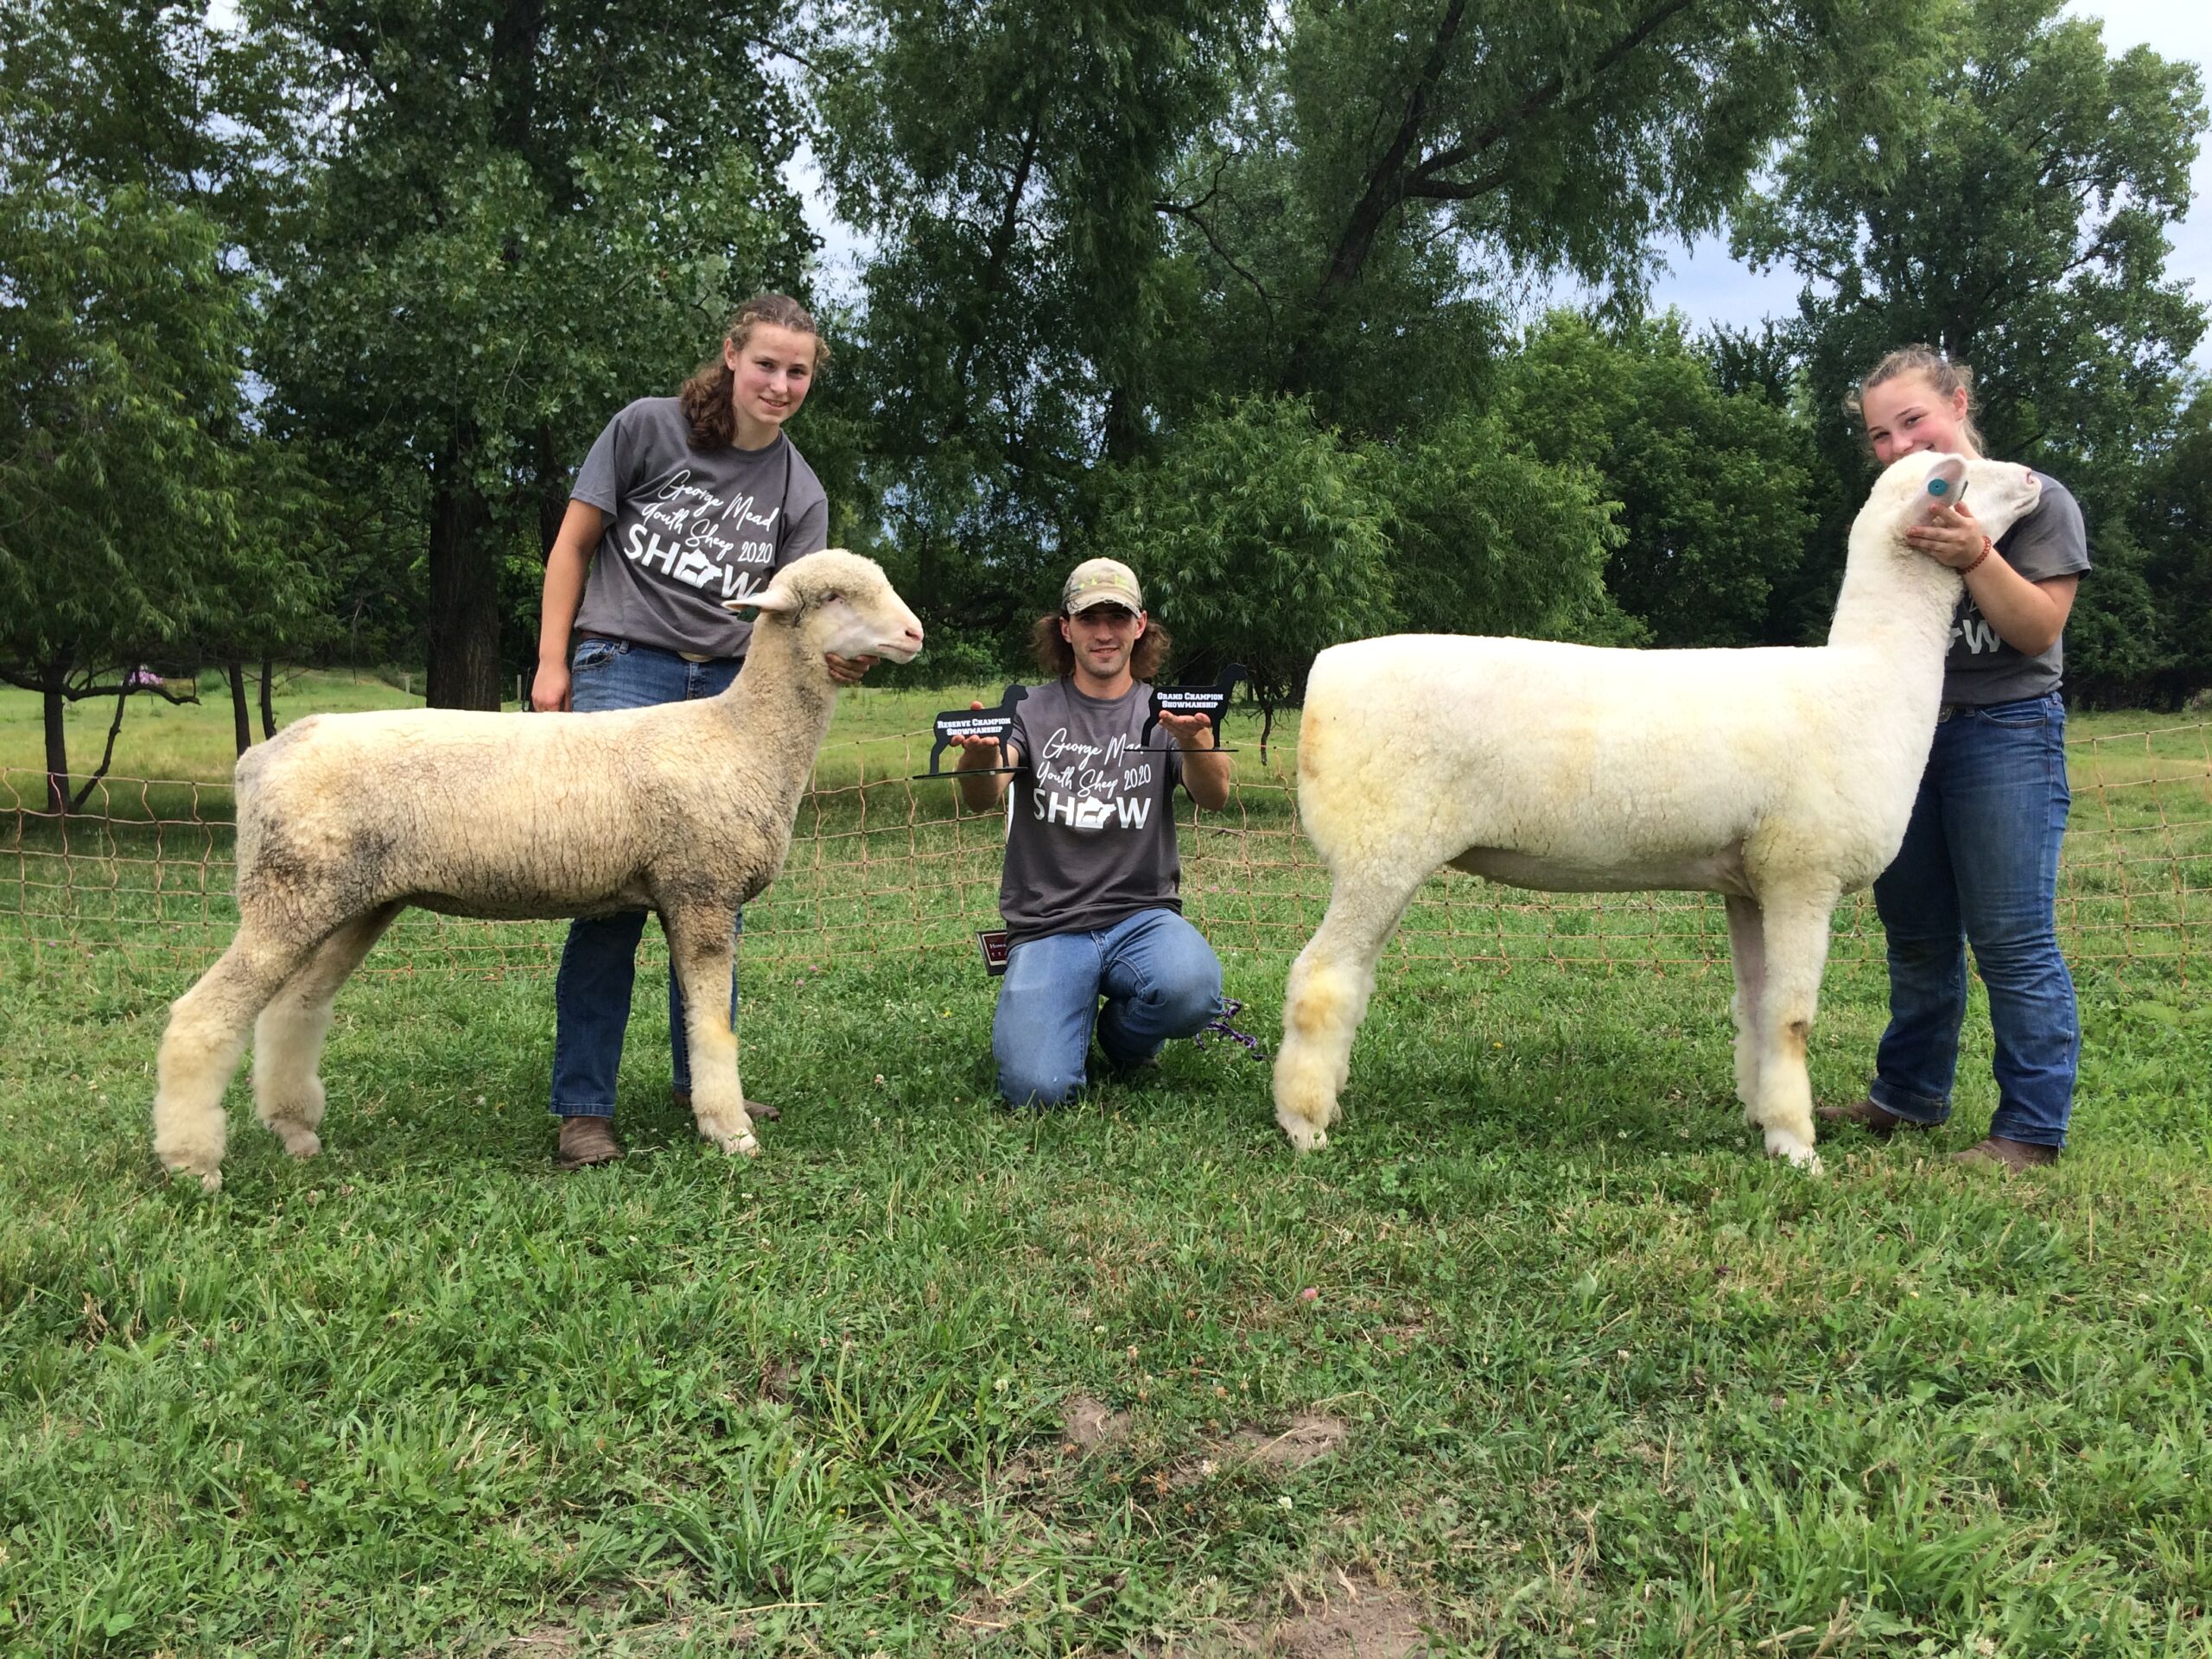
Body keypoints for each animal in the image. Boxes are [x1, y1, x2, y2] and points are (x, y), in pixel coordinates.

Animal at [149, 555, 925, 1194]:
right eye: (834, 596)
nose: (915, 633)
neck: (742, 737)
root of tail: (261, 757)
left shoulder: (694, 895)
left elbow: (700, 1018)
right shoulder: (699, 888)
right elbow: (712, 1027)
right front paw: (730, 1132)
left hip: (351, 901)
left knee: (293, 1008)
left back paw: (295, 1132)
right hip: (291, 889)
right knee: (203, 1015)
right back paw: (192, 1164)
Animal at [1274, 444, 2044, 1167]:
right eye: (1968, 478)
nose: (2038, 479)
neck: (1871, 680)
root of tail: (1325, 671)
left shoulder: (1751, 883)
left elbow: (1756, 1008)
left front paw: (1763, 1119)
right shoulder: (1803, 872)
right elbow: (1792, 1018)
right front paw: (1798, 1148)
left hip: (1386, 854)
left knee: (1352, 976)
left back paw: (1326, 1104)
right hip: (1381, 846)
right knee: (1321, 977)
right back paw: (1304, 1126)